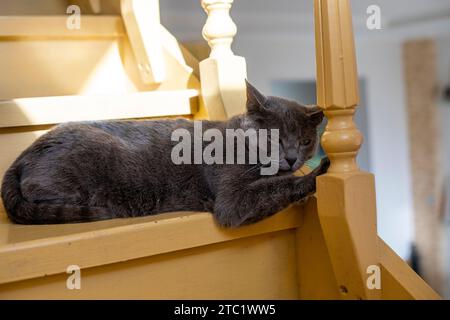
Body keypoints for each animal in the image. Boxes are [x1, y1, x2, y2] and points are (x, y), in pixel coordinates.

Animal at [0, 82, 330, 228]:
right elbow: (274, 187)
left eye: (304, 141)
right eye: (274, 138)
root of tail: (21, 157)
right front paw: (318, 173)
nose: (292, 158)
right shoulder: (233, 199)